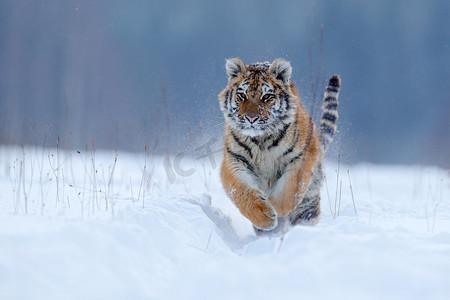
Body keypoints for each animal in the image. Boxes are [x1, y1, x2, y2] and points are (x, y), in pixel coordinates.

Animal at [218, 56, 342, 234]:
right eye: (242, 95)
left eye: (266, 97)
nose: (251, 118)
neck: (261, 140)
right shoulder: (234, 161)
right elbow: (241, 191)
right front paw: (264, 216)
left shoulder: (301, 159)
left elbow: (288, 192)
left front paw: (274, 208)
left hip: (309, 200)